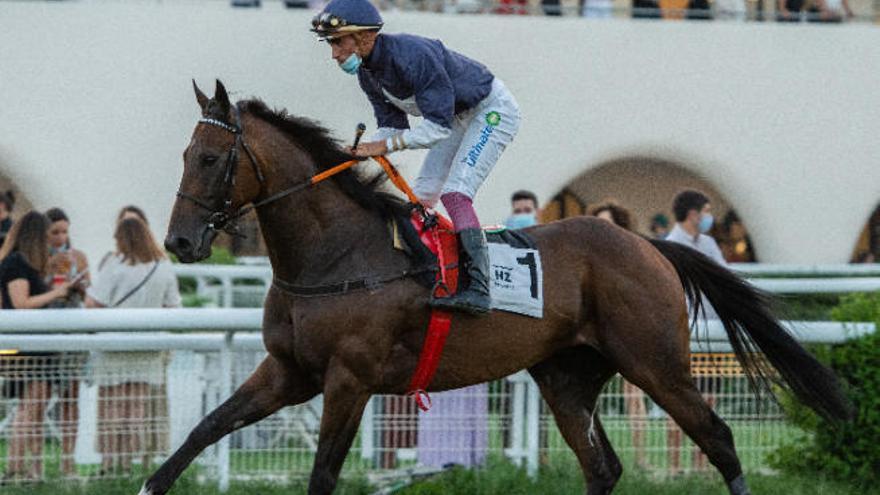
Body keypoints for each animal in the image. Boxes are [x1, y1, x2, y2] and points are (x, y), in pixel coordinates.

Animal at [144, 79, 852, 494]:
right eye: (182, 157)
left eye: (210, 158)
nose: (179, 243)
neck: (336, 256)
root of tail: (645, 243)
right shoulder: (289, 372)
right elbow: (203, 430)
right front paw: (155, 483)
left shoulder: (349, 378)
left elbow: (322, 474)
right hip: (567, 375)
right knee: (603, 467)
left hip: (656, 363)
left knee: (720, 440)